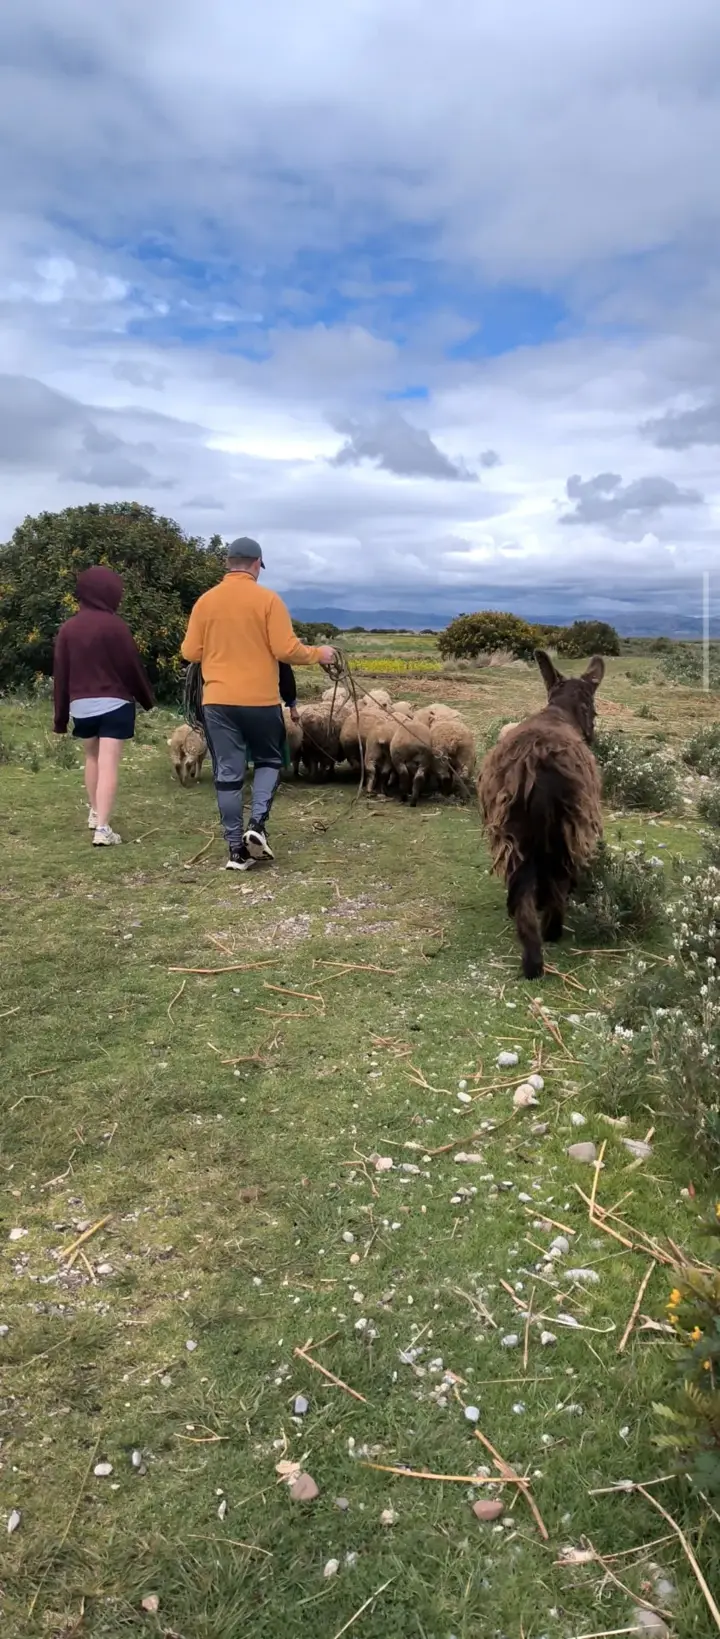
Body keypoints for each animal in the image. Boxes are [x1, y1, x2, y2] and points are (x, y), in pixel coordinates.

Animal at [477, 651, 605, 980]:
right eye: (593, 710)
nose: (592, 736)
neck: (560, 712)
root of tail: (538, 762)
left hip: (522, 834)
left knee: (525, 892)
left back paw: (533, 960)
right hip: (559, 831)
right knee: (553, 885)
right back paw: (548, 939)